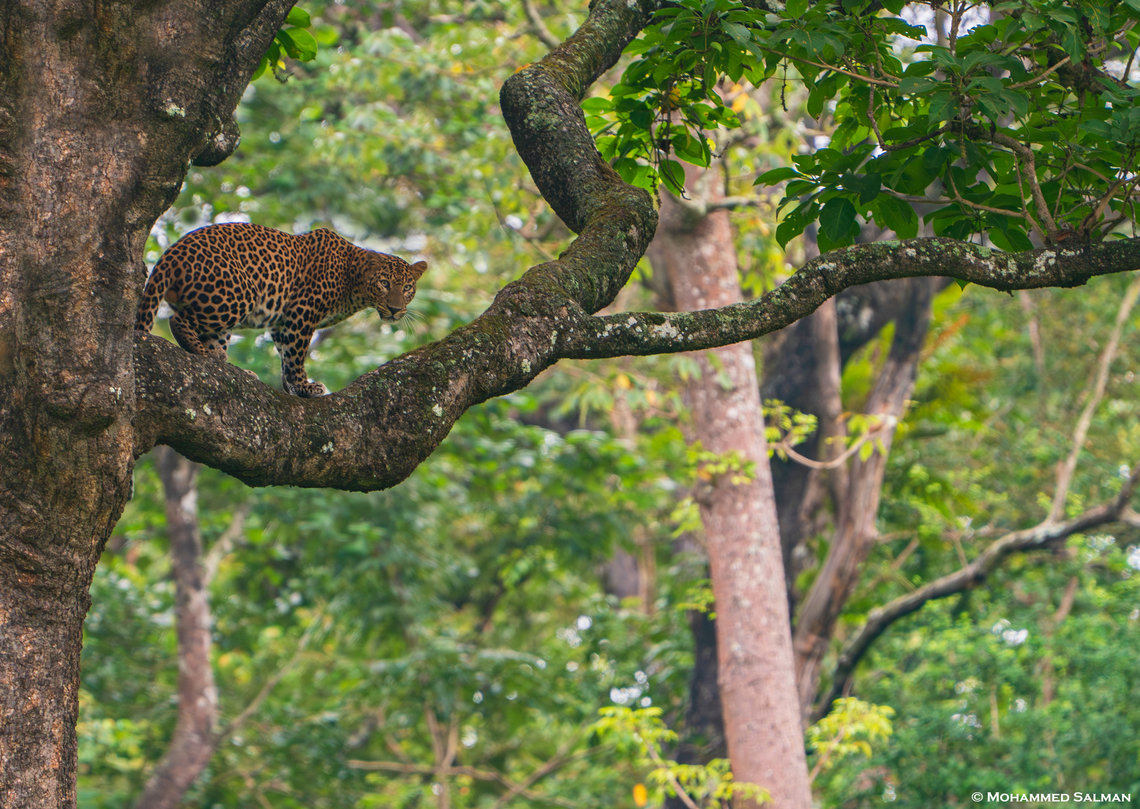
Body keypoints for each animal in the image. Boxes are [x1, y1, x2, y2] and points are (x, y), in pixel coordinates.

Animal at [135, 222, 427, 397]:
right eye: (384, 283)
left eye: (407, 288)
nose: (395, 309)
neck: (353, 280)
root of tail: (172, 252)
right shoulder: (302, 310)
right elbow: (296, 354)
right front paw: (305, 386)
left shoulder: (282, 321)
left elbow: (286, 355)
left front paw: (292, 387)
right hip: (239, 293)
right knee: (178, 319)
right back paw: (203, 353)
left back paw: (230, 367)